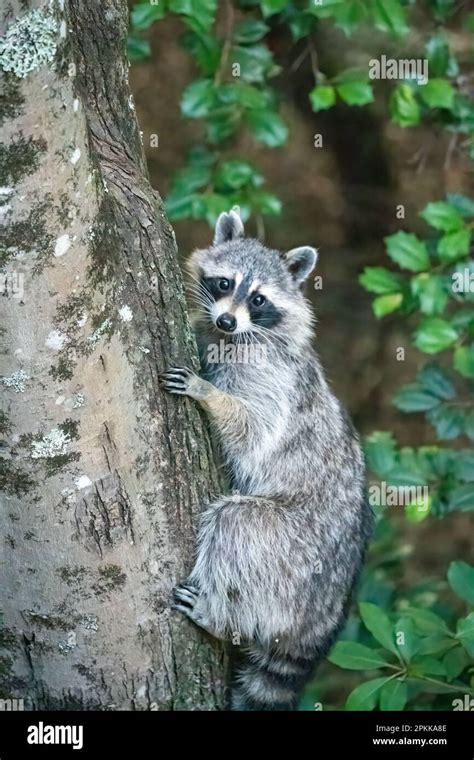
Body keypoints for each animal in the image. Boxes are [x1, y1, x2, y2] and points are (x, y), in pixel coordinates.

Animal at [161, 205, 372, 708]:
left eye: (258, 300)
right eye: (224, 283)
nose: (226, 323)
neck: (240, 335)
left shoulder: (270, 376)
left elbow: (254, 431)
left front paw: (210, 394)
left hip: (294, 548)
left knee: (237, 526)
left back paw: (222, 615)